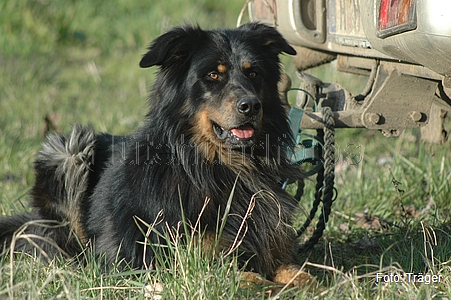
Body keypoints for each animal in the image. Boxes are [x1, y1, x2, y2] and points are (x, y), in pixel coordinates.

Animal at [0, 22, 314, 288]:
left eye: (253, 73)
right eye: (213, 75)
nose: (250, 106)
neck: (220, 166)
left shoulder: (273, 245)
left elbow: (303, 275)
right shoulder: (176, 256)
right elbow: (246, 277)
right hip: (69, 151)